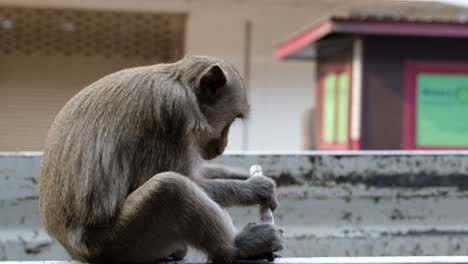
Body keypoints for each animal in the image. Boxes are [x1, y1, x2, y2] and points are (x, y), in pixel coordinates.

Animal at [38, 54, 284, 262]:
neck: (181, 83)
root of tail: (76, 251)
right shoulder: (173, 113)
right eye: (231, 121)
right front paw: (256, 188)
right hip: (117, 243)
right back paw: (234, 249)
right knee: (170, 188)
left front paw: (241, 174)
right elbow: (179, 179)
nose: (223, 146)